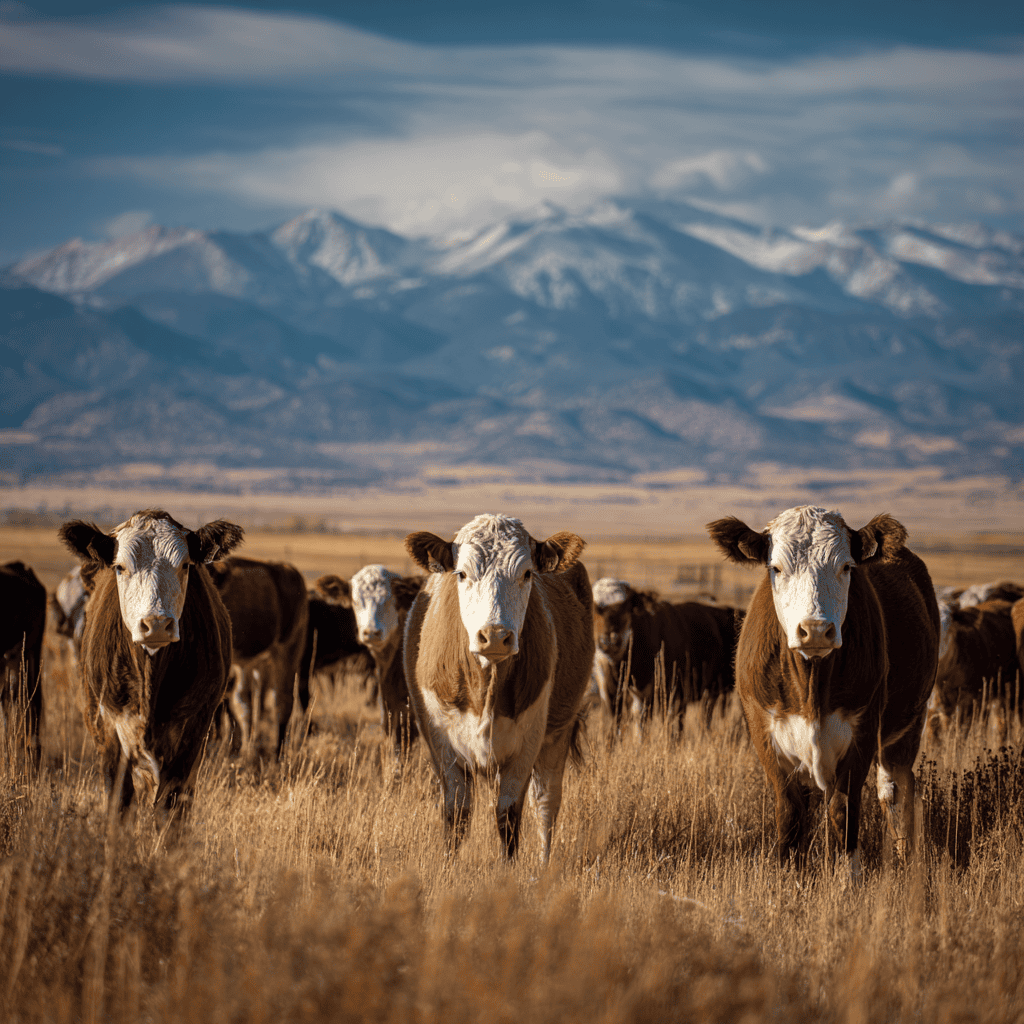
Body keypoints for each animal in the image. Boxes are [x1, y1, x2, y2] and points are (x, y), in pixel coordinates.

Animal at [58, 510, 242, 818]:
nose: (156, 624)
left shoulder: (193, 729)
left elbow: (172, 804)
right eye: (120, 567)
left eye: (185, 565)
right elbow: (120, 801)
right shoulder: (110, 728)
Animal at [403, 514, 594, 863]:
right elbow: (456, 814)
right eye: (462, 573)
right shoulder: (442, 745)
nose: (494, 636)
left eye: (527, 573)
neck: (485, 689)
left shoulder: (525, 747)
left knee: (546, 802)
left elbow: (509, 817)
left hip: (558, 733)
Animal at [707, 506, 938, 875]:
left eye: (846, 567)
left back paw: (905, 858)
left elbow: (844, 811)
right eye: (776, 568)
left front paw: (848, 878)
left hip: (908, 727)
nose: (815, 629)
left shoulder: (862, 732)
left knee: (895, 790)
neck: (811, 682)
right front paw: (789, 877)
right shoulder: (764, 733)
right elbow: (791, 814)